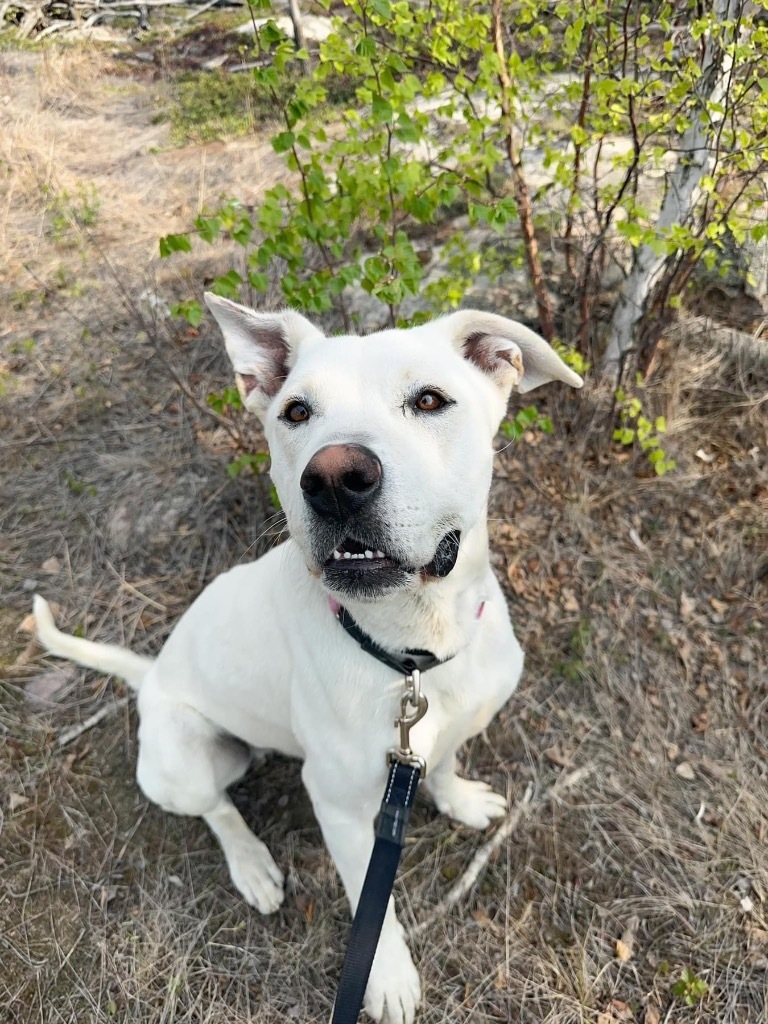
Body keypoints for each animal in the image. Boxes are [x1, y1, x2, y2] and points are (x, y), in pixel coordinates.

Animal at [33, 299, 581, 1024]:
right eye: (296, 412)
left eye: (430, 400)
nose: (335, 479)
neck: (414, 651)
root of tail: (150, 677)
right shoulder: (341, 810)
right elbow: (371, 905)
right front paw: (387, 978)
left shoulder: (451, 729)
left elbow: (444, 765)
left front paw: (459, 799)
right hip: (186, 763)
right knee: (217, 810)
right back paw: (252, 866)